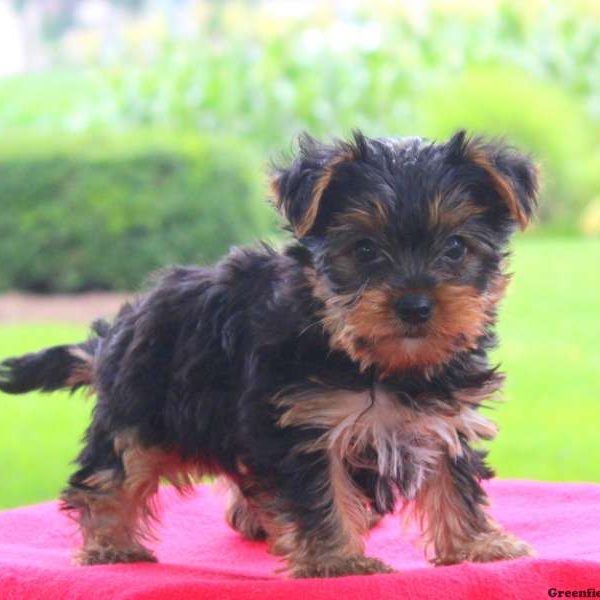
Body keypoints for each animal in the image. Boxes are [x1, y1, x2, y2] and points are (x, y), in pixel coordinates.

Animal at [0, 130, 536, 576]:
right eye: (364, 250)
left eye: (455, 247)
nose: (416, 305)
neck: (379, 364)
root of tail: (118, 328)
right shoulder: (304, 422)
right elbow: (320, 493)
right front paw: (337, 560)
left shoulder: (445, 417)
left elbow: (453, 480)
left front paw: (477, 546)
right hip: (140, 409)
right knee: (113, 474)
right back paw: (111, 543)